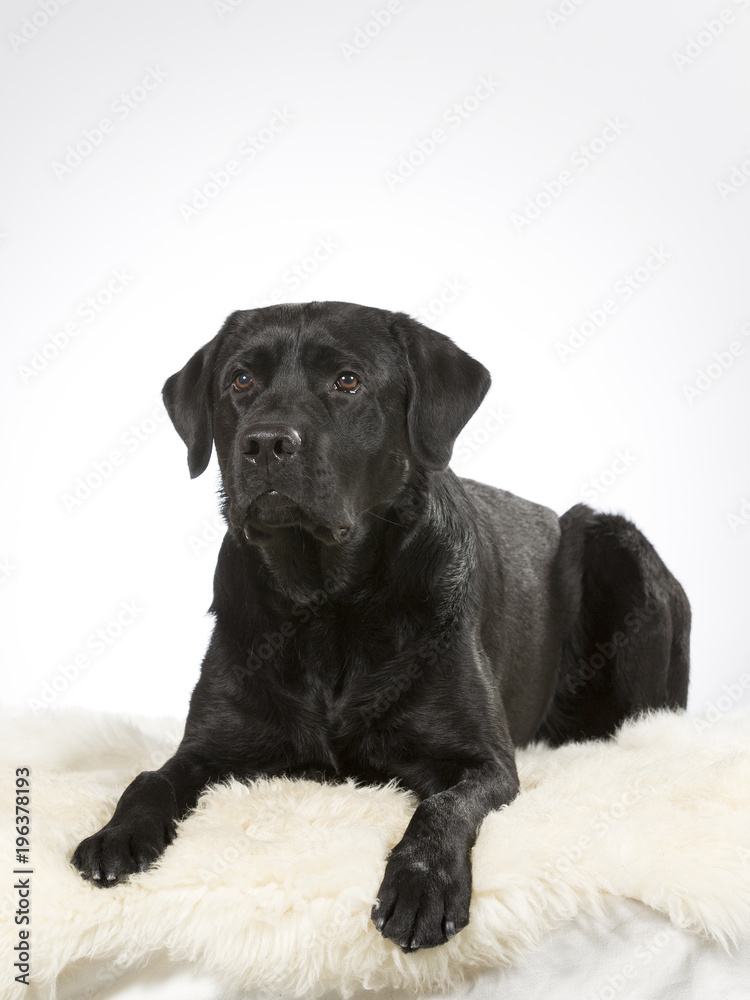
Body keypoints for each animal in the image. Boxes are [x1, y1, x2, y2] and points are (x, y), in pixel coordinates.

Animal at [72, 302, 692, 952]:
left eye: (347, 381)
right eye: (240, 381)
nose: (265, 443)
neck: (328, 605)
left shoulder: (486, 762)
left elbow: (441, 807)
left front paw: (422, 886)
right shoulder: (209, 746)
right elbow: (150, 777)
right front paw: (117, 835)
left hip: (614, 540)